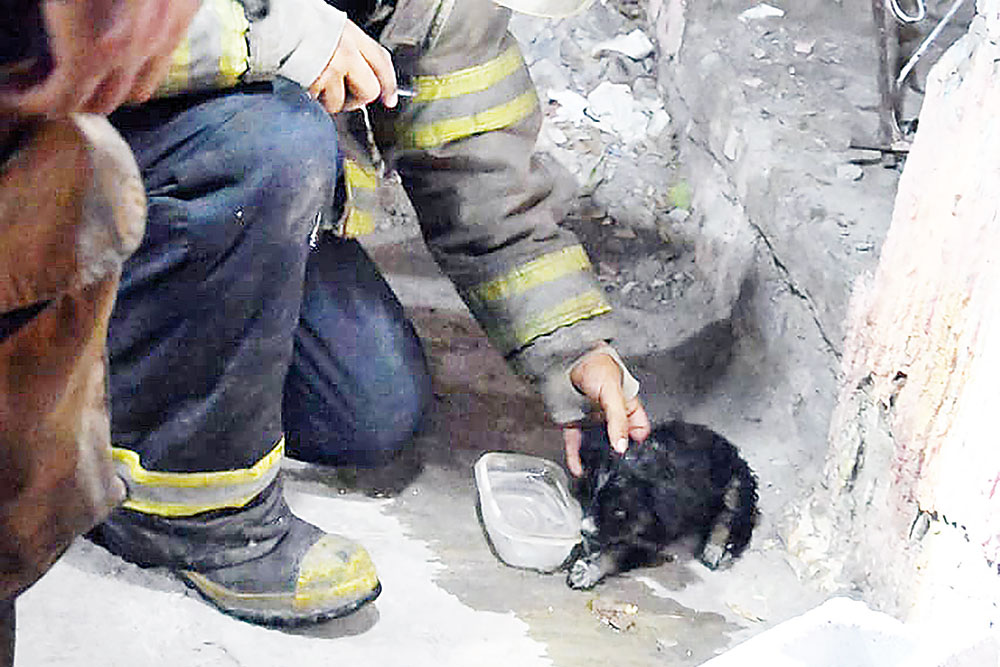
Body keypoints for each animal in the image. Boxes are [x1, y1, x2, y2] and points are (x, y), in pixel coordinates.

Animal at [568, 422, 752, 588]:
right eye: (593, 496)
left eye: (619, 511)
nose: (584, 531)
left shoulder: (654, 537)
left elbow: (617, 553)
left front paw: (588, 570)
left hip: (735, 483)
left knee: (732, 517)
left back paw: (716, 550)